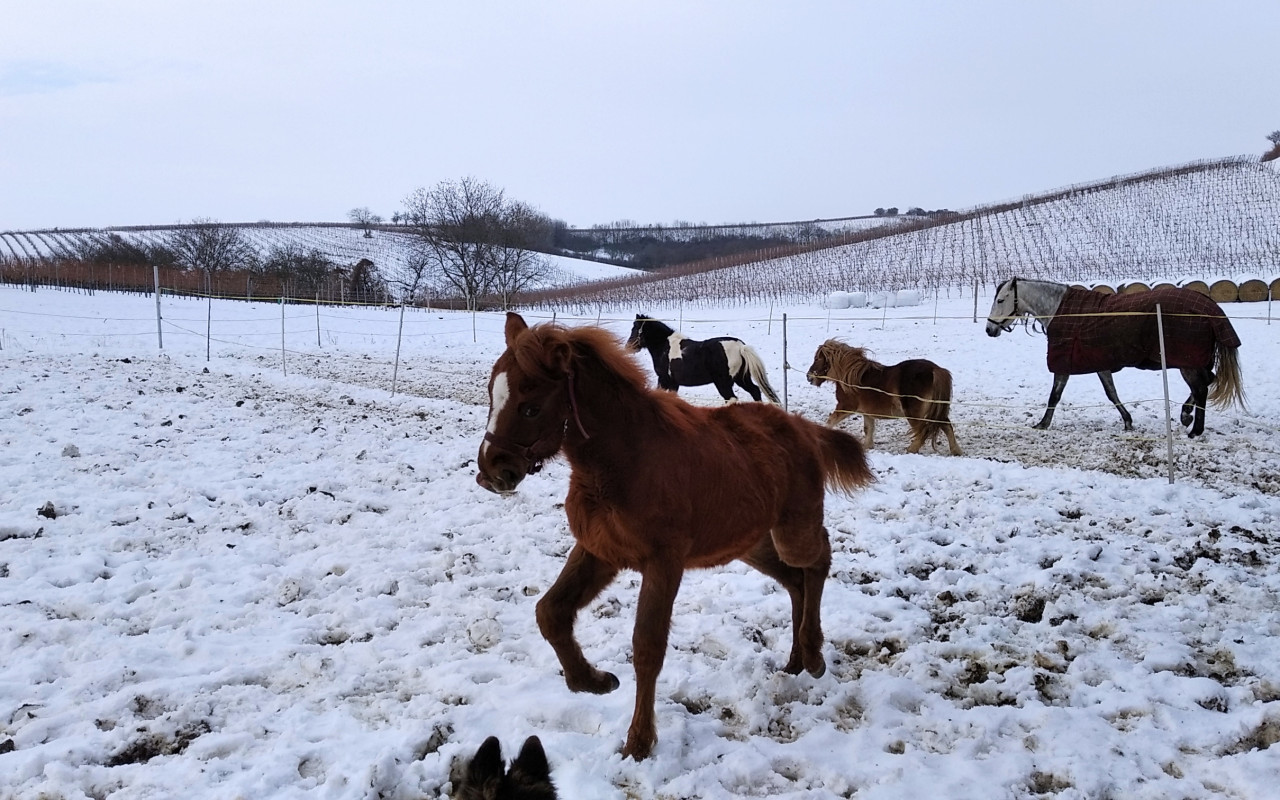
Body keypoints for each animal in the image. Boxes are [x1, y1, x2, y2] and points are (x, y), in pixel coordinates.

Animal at [622, 313, 773, 401]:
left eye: (634, 328)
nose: (627, 347)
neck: (665, 346)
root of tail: (740, 346)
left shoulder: (664, 379)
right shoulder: (674, 383)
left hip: (724, 382)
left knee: (731, 399)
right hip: (741, 378)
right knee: (755, 391)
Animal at [808, 337, 962, 455]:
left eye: (817, 359)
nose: (809, 377)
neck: (850, 378)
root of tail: (935, 370)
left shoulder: (845, 407)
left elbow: (830, 421)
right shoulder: (867, 413)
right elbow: (868, 429)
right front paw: (867, 447)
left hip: (914, 414)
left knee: (922, 432)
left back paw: (911, 450)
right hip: (936, 410)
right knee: (946, 426)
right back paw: (956, 451)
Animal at [983, 276, 1244, 437]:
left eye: (1000, 300)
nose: (989, 329)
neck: (1062, 311)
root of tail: (1209, 307)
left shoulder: (1065, 364)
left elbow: (1054, 396)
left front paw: (1042, 424)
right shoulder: (1101, 364)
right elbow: (1111, 393)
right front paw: (1128, 421)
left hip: (1187, 362)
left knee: (1201, 388)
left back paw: (1194, 429)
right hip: (1197, 361)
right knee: (1208, 381)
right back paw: (1186, 415)